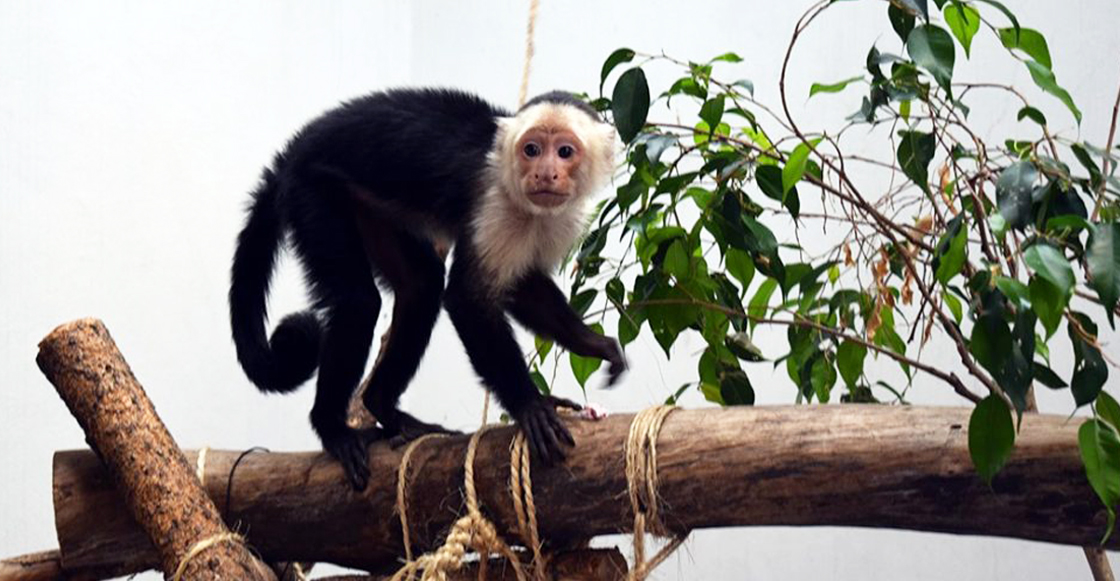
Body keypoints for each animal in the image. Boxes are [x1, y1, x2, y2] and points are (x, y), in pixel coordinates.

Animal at [228, 88, 627, 490]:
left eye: (565, 151)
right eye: (531, 149)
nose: (545, 172)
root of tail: (293, 151)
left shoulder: (558, 217)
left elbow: (523, 286)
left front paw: (596, 345)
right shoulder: (494, 206)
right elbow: (468, 298)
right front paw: (530, 405)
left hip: (366, 204)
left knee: (421, 286)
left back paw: (384, 408)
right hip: (311, 191)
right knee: (359, 302)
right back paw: (332, 428)